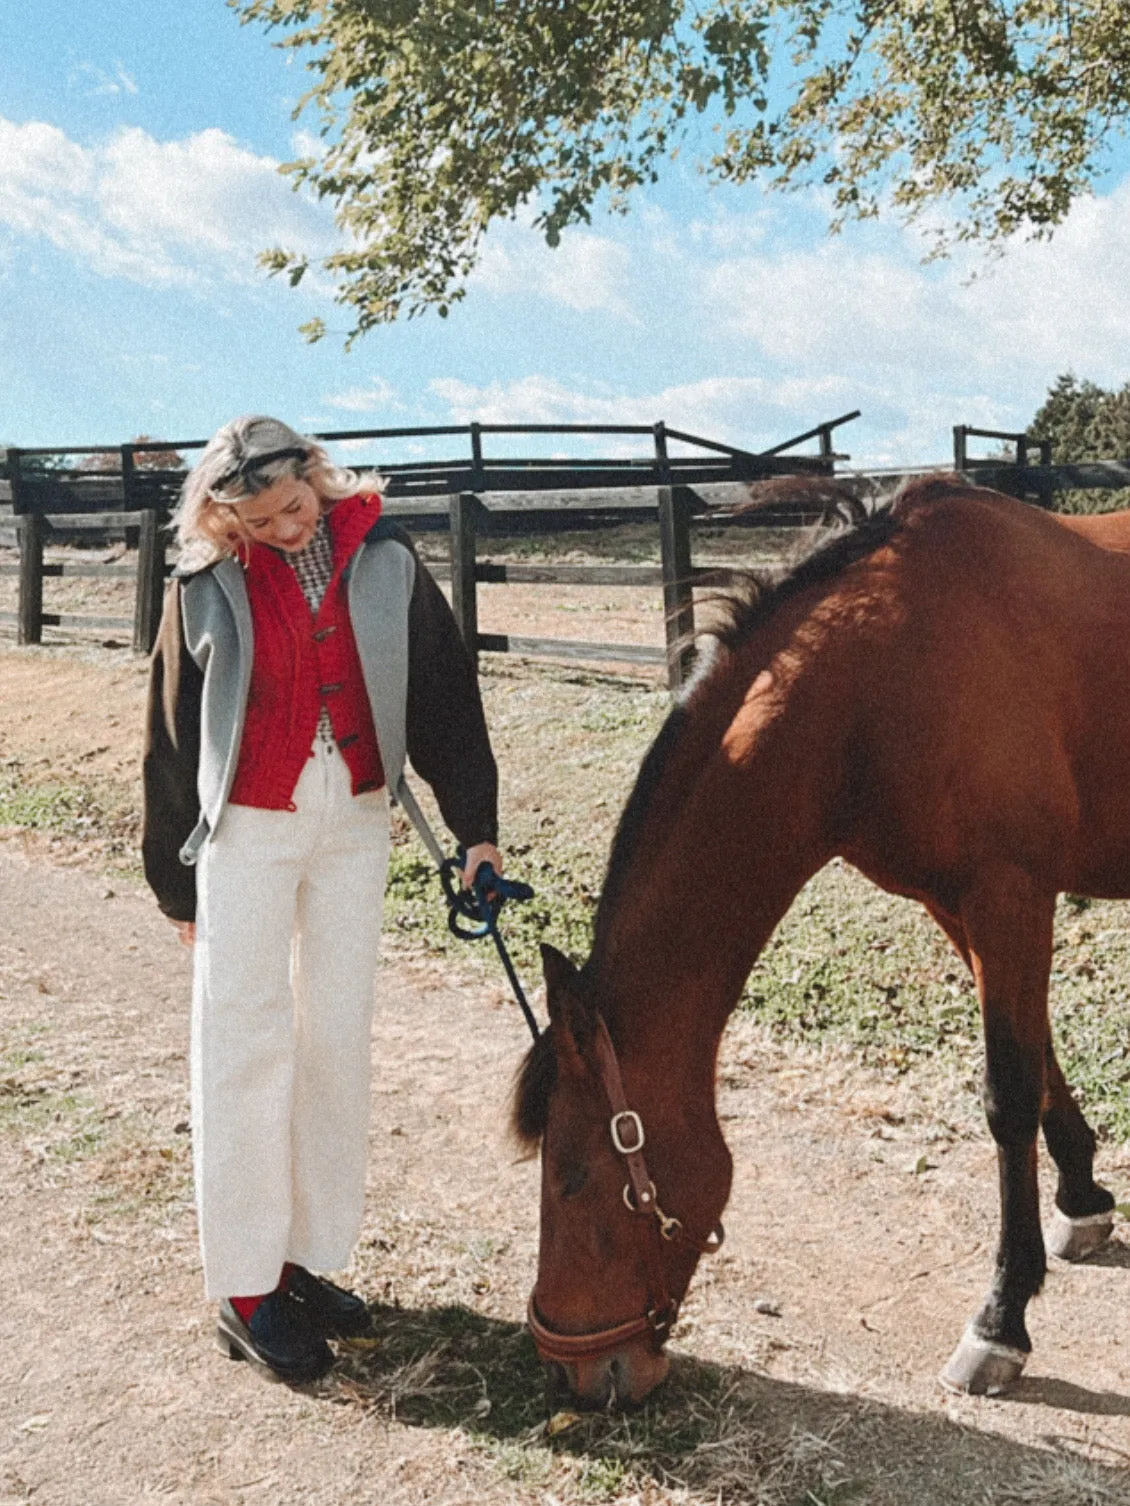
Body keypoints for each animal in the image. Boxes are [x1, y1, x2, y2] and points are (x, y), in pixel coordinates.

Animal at [515, 481, 1130, 1409]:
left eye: (574, 1174)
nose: (575, 1371)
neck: (883, 670)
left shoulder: (1010, 893)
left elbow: (1008, 1093)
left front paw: (1001, 1318)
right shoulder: (962, 905)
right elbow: (1040, 1052)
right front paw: (1084, 1198)